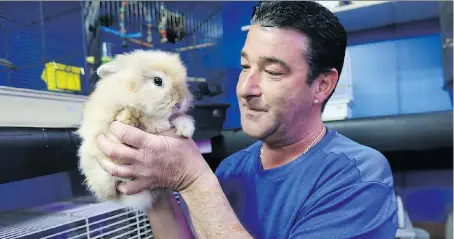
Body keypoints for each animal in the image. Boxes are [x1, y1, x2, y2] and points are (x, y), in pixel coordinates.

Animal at [76, 49, 193, 212]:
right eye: (158, 81)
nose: (180, 103)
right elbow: (147, 119)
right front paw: (162, 124)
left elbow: (175, 118)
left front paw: (186, 129)